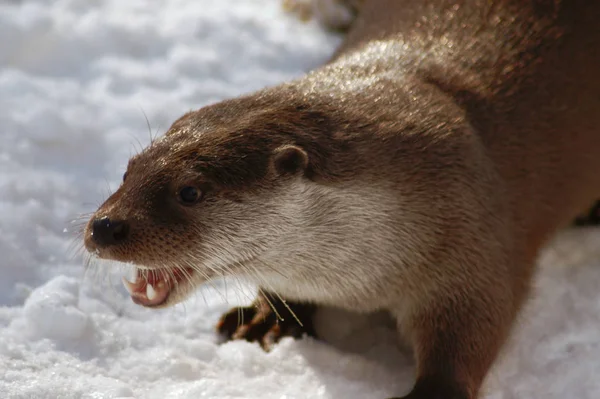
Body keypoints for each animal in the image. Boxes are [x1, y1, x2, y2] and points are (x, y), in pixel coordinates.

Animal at [83, 0, 600, 398]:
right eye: (129, 170)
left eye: (190, 191)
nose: (103, 227)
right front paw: (268, 315)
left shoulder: (476, 236)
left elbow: (476, 326)